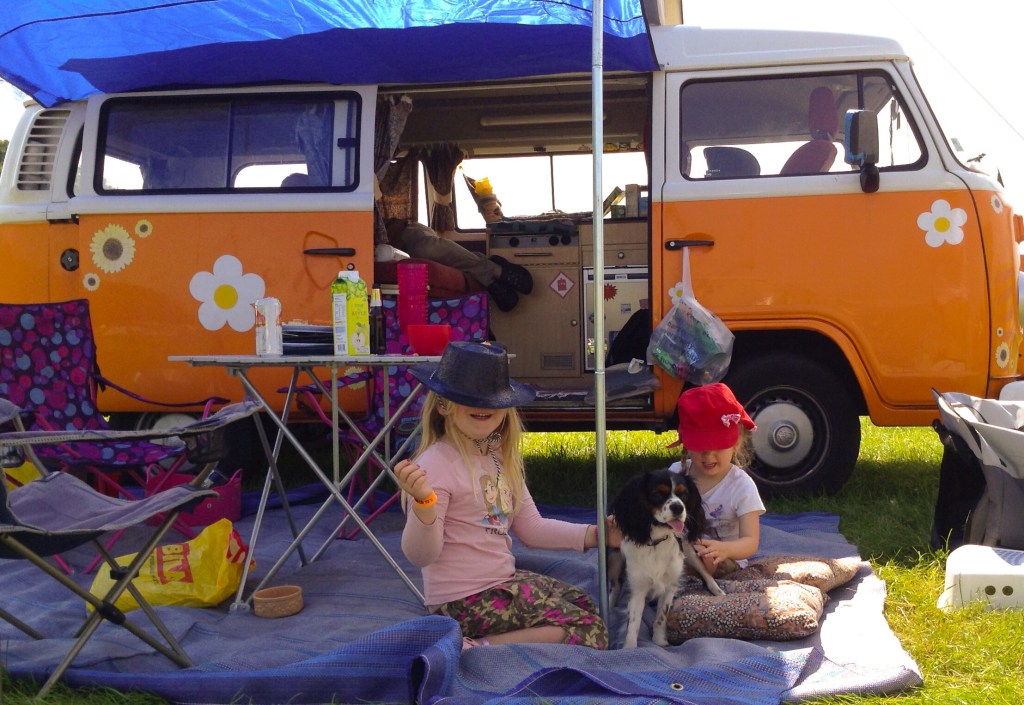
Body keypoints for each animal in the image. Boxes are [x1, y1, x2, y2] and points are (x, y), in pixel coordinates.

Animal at [609, 467, 725, 647]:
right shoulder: (637, 588)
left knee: (705, 572)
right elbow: (633, 622)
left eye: (684, 495)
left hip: (689, 551)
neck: (657, 542)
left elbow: (661, 617)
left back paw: (718, 592)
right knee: (614, 586)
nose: (678, 507)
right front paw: (629, 648)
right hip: (614, 560)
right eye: (658, 494)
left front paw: (660, 642)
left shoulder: (670, 585)